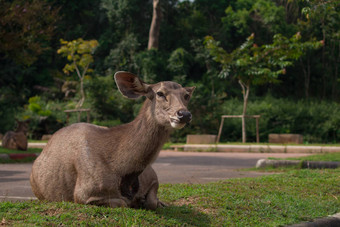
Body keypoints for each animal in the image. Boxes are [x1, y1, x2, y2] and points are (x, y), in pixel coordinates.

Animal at [30, 72, 195, 210]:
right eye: (160, 93)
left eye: (186, 95)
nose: (184, 114)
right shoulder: (84, 193)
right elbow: (123, 203)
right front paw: (137, 201)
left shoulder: (153, 177)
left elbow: (152, 201)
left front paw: (154, 201)